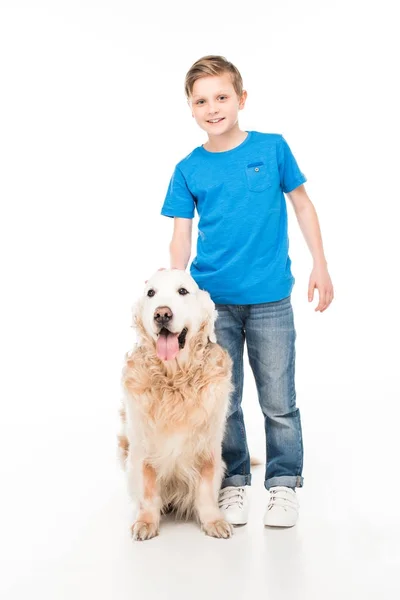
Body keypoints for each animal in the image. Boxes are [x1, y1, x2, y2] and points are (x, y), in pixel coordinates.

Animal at [117, 270, 233, 540]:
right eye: (151, 293)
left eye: (183, 291)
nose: (162, 314)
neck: (175, 380)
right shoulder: (143, 444)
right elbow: (148, 490)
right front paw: (146, 521)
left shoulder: (208, 443)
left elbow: (205, 487)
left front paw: (213, 521)